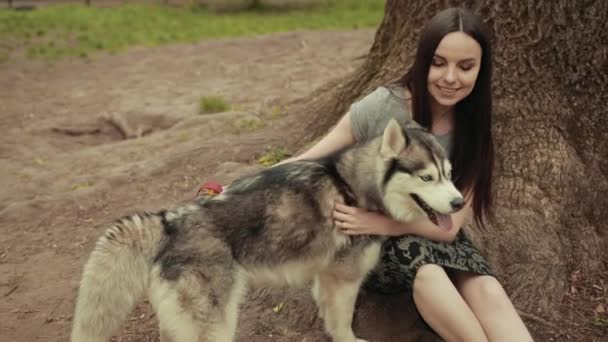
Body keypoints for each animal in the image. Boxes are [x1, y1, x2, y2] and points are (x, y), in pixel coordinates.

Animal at [70, 118, 460, 342]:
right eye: (427, 178)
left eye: (449, 174)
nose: (459, 203)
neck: (352, 187)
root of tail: (170, 219)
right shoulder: (344, 279)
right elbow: (343, 323)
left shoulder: (325, 276)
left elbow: (327, 313)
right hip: (216, 324)